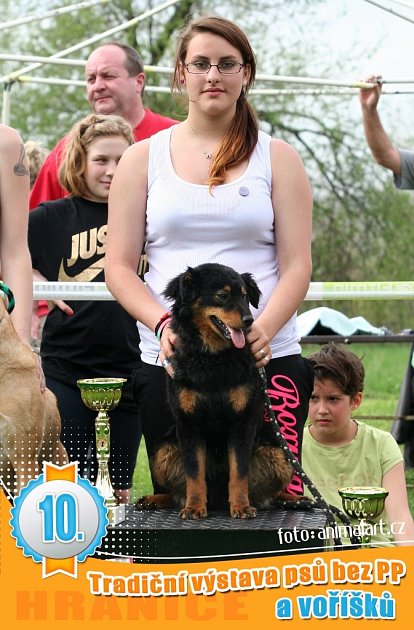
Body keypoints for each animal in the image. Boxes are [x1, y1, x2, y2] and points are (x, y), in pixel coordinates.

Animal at [137, 264, 298, 520]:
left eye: (244, 296)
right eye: (222, 296)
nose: (248, 321)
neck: (213, 359)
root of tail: (218, 500)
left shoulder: (242, 423)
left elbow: (239, 472)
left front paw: (241, 506)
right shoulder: (189, 424)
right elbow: (194, 473)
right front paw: (194, 507)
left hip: (278, 451)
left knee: (267, 496)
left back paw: (294, 499)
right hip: (163, 449)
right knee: (176, 493)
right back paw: (155, 499)